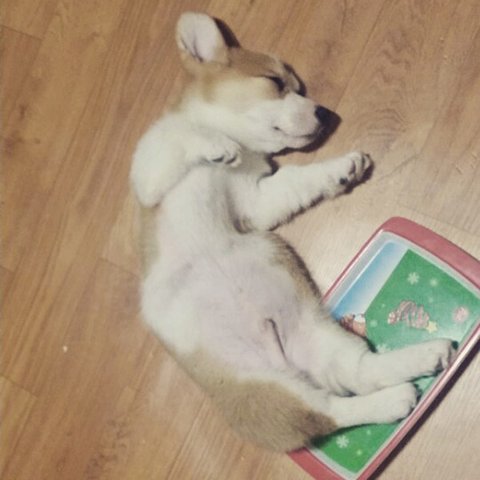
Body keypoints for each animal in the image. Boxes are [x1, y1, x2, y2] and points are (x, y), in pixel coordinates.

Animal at [130, 12, 454, 451]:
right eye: (275, 82)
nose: (324, 114)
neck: (245, 155)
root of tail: (284, 360)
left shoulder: (256, 199)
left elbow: (300, 179)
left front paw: (342, 167)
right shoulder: (151, 174)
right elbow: (184, 136)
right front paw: (216, 145)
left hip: (317, 337)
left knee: (352, 382)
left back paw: (420, 362)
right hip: (264, 385)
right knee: (329, 412)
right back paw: (398, 395)